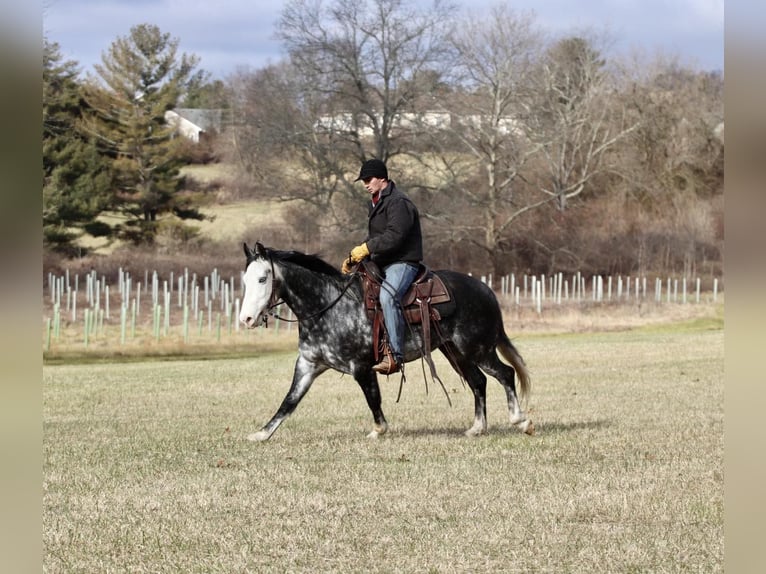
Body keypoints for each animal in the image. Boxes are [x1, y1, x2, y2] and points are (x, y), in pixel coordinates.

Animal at [240, 241, 536, 444]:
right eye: (245, 280)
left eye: (263, 278)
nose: (246, 319)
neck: (328, 307)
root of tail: (486, 291)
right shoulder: (308, 365)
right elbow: (289, 402)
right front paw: (261, 434)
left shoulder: (361, 367)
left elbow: (373, 399)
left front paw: (378, 430)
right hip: (455, 352)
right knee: (479, 382)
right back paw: (477, 428)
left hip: (478, 349)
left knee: (505, 374)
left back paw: (520, 421)